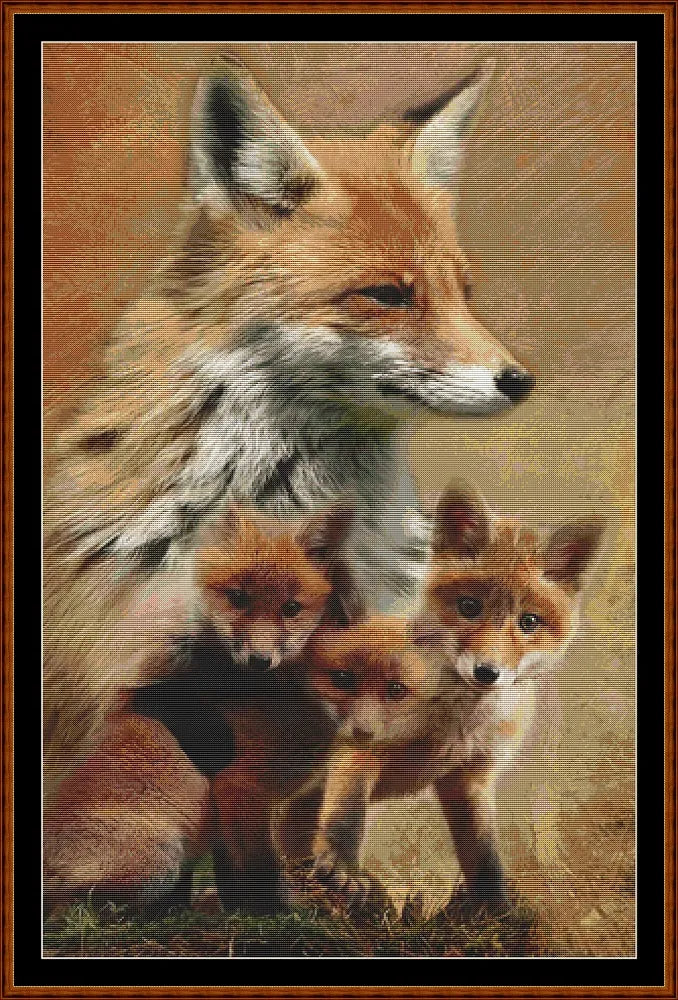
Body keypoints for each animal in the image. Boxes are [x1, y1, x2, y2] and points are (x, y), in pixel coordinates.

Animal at [43, 505, 357, 912]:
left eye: (291, 609)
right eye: (239, 599)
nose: (260, 661)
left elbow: (233, 877)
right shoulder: (240, 784)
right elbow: (260, 870)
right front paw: (270, 910)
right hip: (158, 863)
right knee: (78, 907)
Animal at [286, 488, 603, 907]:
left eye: (529, 622)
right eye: (469, 607)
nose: (487, 672)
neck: (455, 725)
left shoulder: (471, 777)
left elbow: (484, 854)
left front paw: (496, 906)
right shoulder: (361, 745)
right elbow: (346, 816)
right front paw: (343, 869)